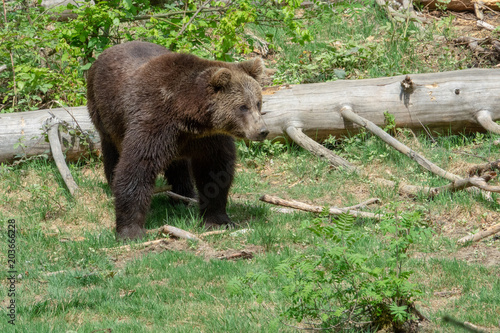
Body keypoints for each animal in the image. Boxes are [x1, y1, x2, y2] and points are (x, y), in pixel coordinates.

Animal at [87, 40, 270, 239]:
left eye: (258, 102)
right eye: (243, 107)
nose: (262, 131)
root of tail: (107, 51)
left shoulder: (208, 139)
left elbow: (216, 170)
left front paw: (217, 220)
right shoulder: (153, 122)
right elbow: (137, 167)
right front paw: (131, 231)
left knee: (178, 165)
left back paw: (184, 195)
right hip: (104, 111)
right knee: (111, 151)